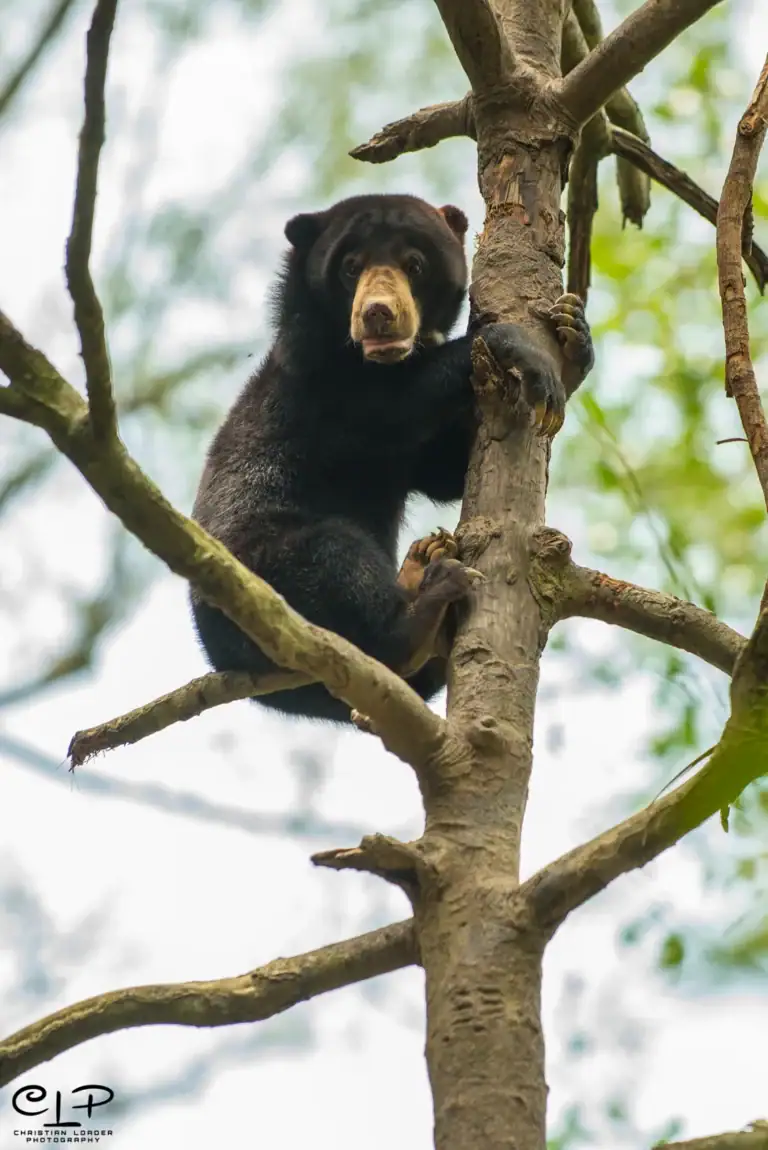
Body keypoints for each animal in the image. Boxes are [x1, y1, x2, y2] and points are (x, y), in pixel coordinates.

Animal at [190, 193, 593, 723]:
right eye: (350, 266)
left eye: (415, 264)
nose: (378, 313)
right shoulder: (322, 390)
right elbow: (391, 409)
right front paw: (520, 349)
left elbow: (446, 470)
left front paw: (572, 335)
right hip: (262, 567)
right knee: (335, 558)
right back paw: (422, 608)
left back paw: (423, 564)